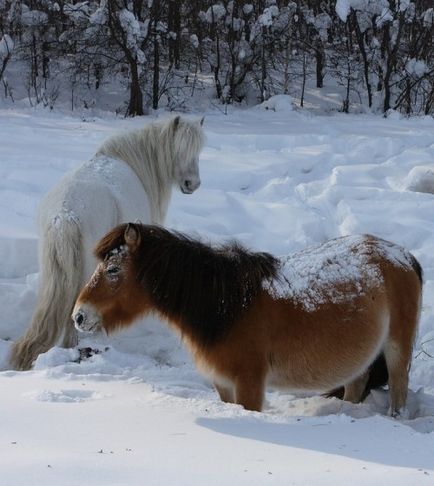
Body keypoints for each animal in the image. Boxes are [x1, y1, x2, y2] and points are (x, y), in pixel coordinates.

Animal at [73, 222, 422, 416]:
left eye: (113, 269)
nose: (78, 315)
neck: (228, 306)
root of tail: (404, 256)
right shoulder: (224, 383)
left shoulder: (249, 383)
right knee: (357, 384)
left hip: (397, 348)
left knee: (398, 389)